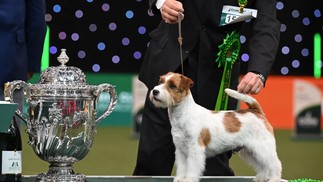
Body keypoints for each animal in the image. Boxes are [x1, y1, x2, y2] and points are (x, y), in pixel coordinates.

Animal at [151, 72, 282, 182]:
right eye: (160, 81)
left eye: (172, 85)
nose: (154, 91)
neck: (183, 114)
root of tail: (256, 111)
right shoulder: (181, 150)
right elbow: (183, 167)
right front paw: (180, 178)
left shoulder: (195, 149)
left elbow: (192, 167)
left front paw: (189, 179)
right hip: (250, 151)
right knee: (263, 165)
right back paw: (261, 177)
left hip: (262, 147)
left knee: (275, 164)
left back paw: (274, 179)